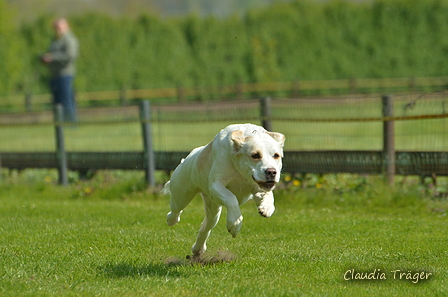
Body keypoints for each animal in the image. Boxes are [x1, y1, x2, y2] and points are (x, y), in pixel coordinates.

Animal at [163, 122, 286, 254]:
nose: (271, 172)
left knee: (205, 227)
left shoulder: (258, 187)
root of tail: (187, 158)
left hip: (213, 211)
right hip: (181, 195)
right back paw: (171, 219)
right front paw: (235, 223)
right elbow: (231, 198)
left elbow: (268, 194)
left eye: (276, 155)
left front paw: (266, 208)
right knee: (176, 210)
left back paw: (198, 249)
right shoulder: (216, 185)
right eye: (255, 155)